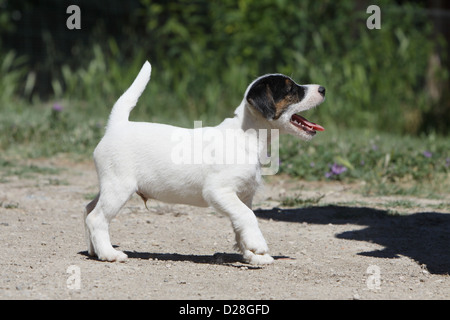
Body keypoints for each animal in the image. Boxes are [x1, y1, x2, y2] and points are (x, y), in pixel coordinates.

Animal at [84, 61, 326, 264]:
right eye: (291, 90)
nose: (323, 89)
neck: (246, 136)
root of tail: (117, 126)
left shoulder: (243, 196)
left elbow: (241, 224)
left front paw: (252, 255)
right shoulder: (218, 191)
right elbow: (247, 217)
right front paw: (258, 246)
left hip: (109, 186)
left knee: (88, 209)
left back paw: (94, 251)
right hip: (119, 187)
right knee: (97, 218)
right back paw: (109, 254)